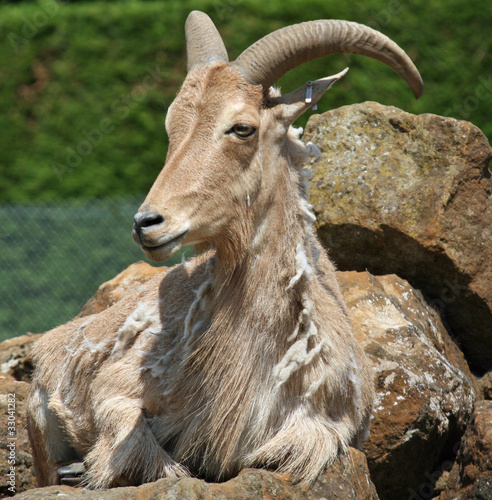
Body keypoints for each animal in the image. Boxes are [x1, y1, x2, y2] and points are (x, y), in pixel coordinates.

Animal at [26, 10, 422, 488]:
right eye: (171, 126)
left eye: (242, 127)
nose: (146, 223)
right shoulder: (118, 385)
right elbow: (137, 443)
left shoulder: (331, 420)